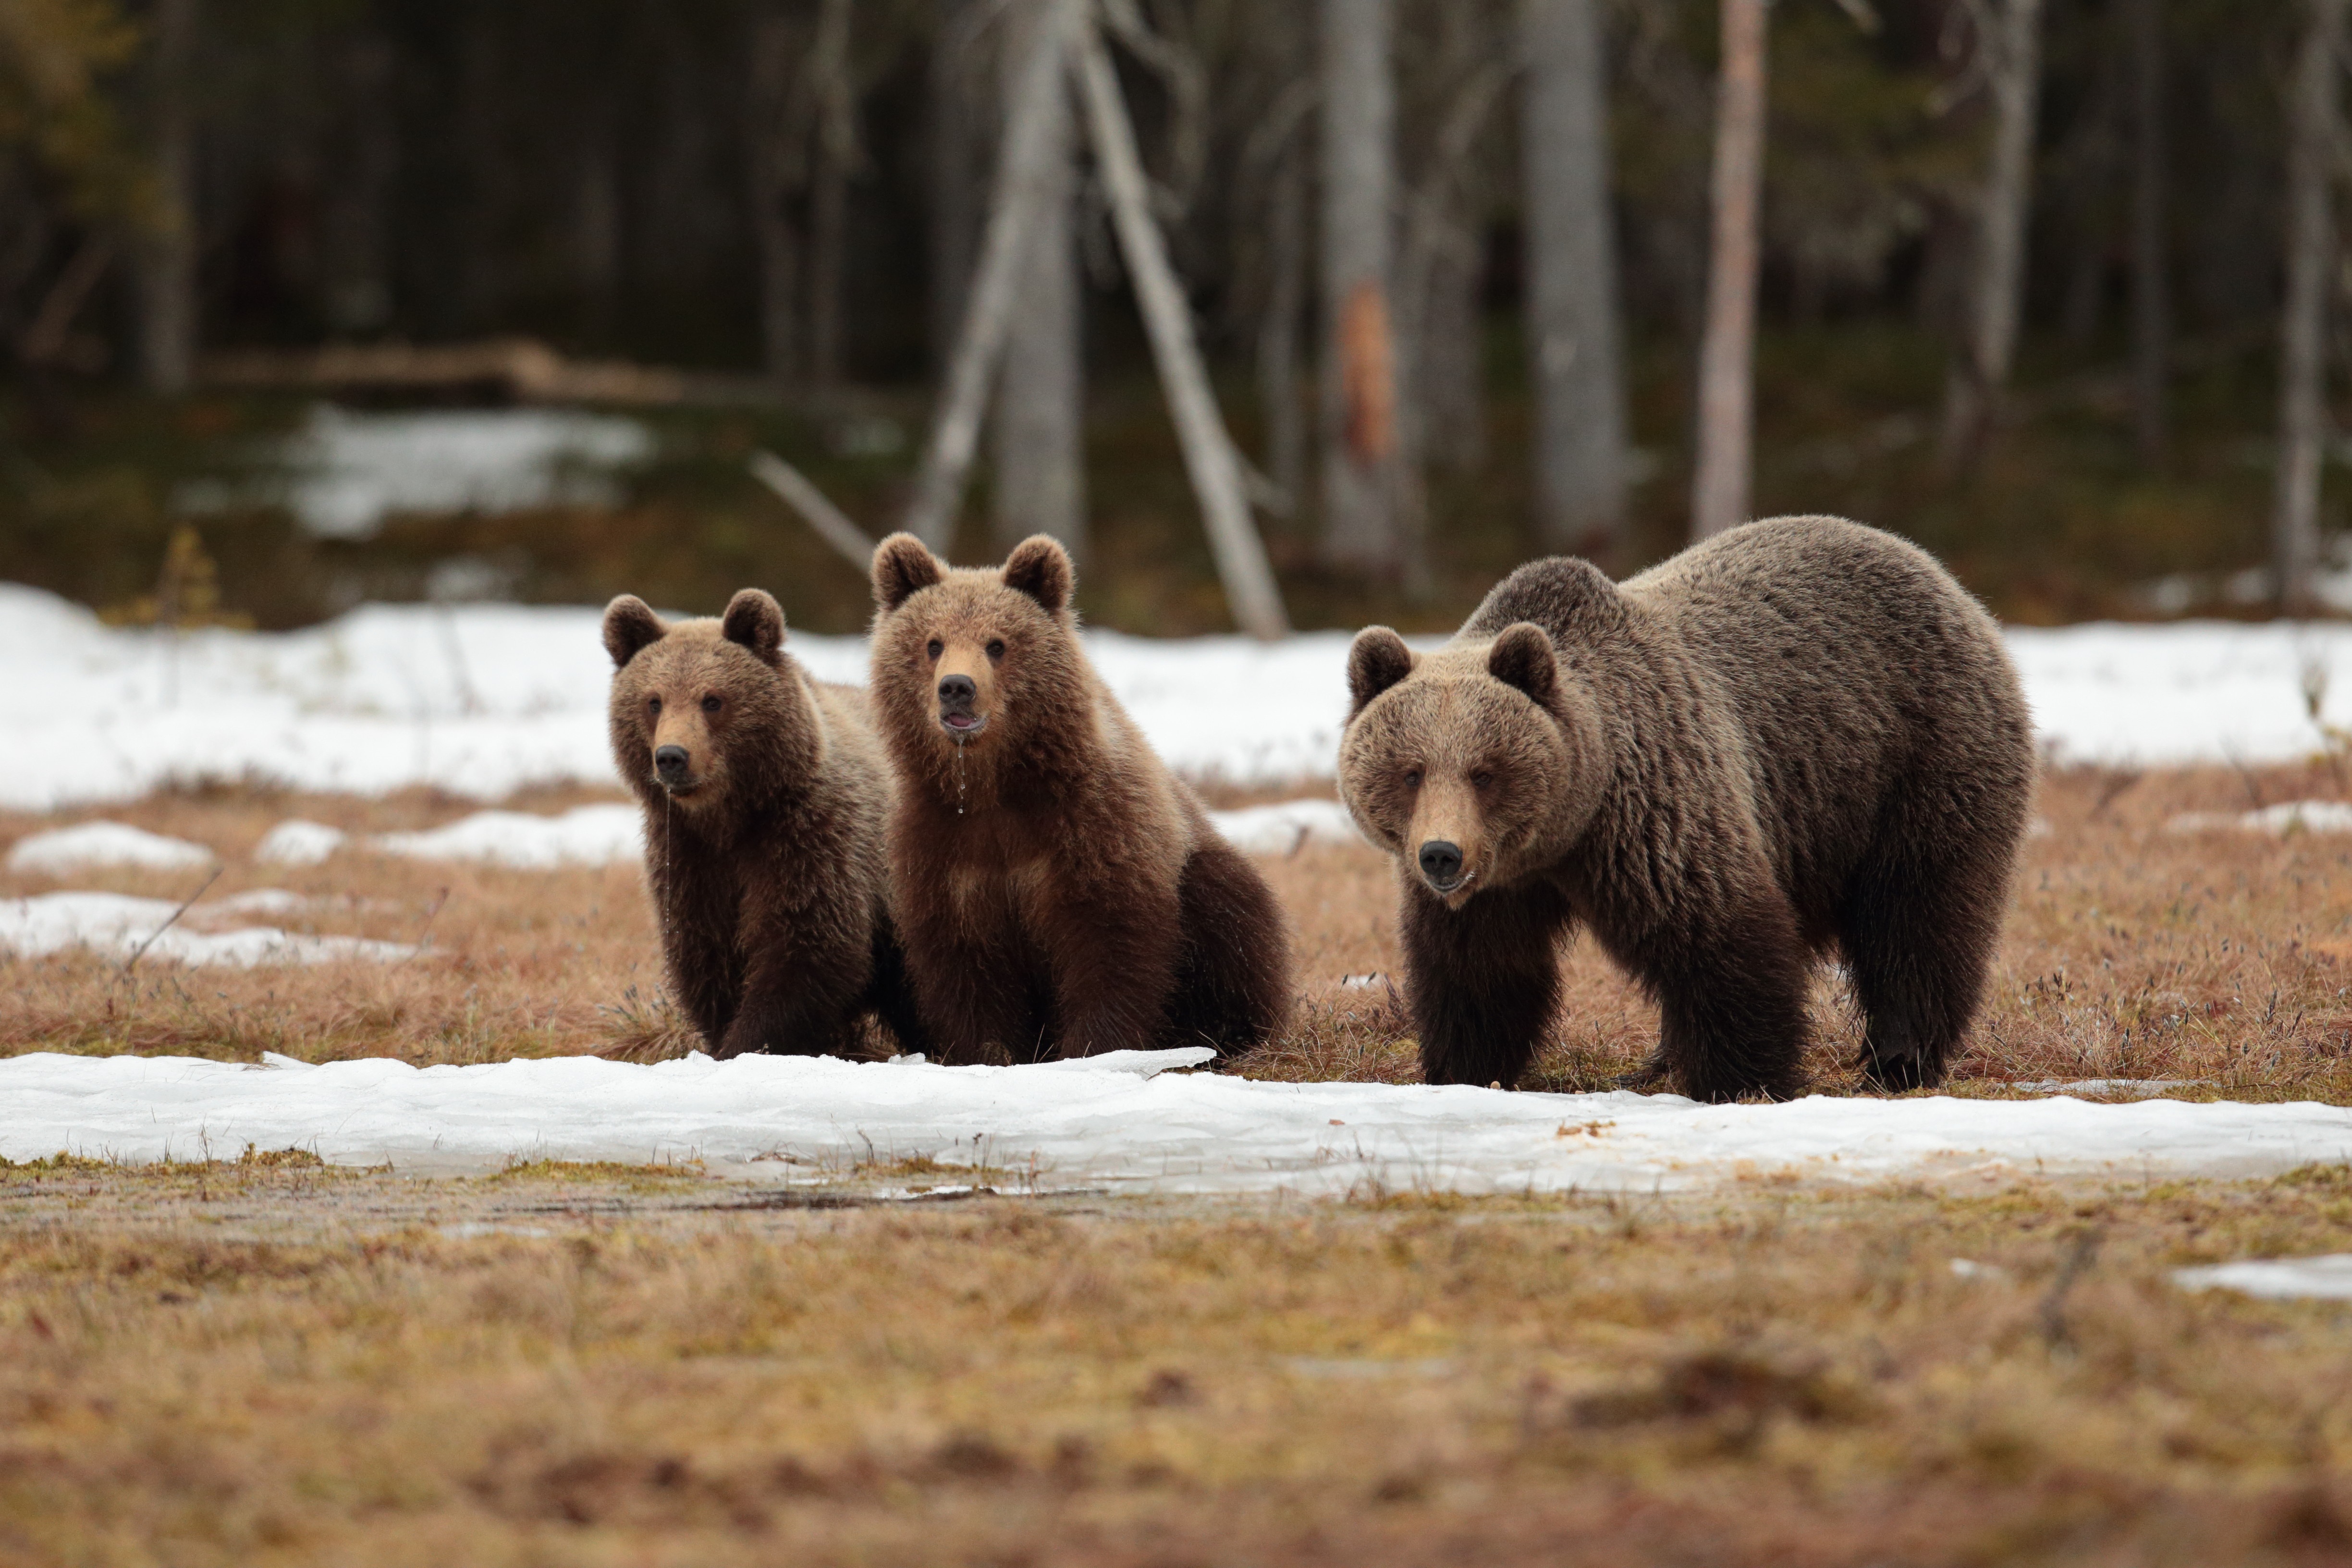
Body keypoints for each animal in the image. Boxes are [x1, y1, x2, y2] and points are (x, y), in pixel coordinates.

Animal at [603, 587, 926, 1060]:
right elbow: (708, 958)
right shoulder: (690, 859)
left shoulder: (808, 840)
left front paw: (745, 1046)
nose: (672, 757)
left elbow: (804, 952)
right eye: (653, 701)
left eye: (713, 700)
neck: (732, 818)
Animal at [865, 530, 1292, 1061]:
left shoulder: (1095, 828)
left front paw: (1091, 1048)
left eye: (997, 644)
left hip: (1206, 879)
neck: (996, 786)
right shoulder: (945, 845)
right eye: (933, 643)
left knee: (1231, 917)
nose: (956, 688)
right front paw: (987, 1051)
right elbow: (965, 963)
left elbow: (1110, 943)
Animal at [1337, 516, 2034, 1102]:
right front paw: (1462, 1069)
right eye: (1410, 771)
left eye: (1484, 772)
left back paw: (1898, 1059)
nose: (1442, 856)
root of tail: (1941, 576)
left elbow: (1717, 935)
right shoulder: (1496, 889)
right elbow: (1478, 974)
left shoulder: (1654, 813)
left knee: (1918, 912)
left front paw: (1746, 1079)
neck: (1564, 832)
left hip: (1920, 762)